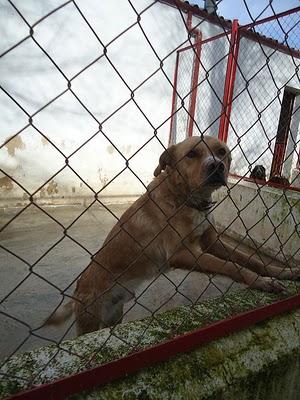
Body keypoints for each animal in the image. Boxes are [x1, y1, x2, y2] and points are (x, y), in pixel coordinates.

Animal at [45, 136, 298, 336]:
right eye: (191, 154)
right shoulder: (182, 253)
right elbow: (230, 266)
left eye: (221, 151)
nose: (217, 166)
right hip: (90, 319)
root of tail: (77, 290)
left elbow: (252, 260)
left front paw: (283, 272)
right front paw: (262, 283)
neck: (187, 199)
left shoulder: (212, 242)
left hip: (113, 315)